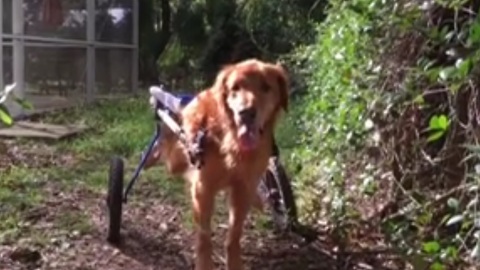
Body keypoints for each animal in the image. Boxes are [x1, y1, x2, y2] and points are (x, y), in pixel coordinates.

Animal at [148, 59, 286, 270]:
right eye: (235, 87)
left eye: (265, 87)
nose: (246, 113)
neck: (230, 140)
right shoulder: (203, 188)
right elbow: (204, 237)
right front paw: (205, 263)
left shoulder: (243, 188)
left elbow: (234, 234)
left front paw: (234, 262)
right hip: (173, 156)